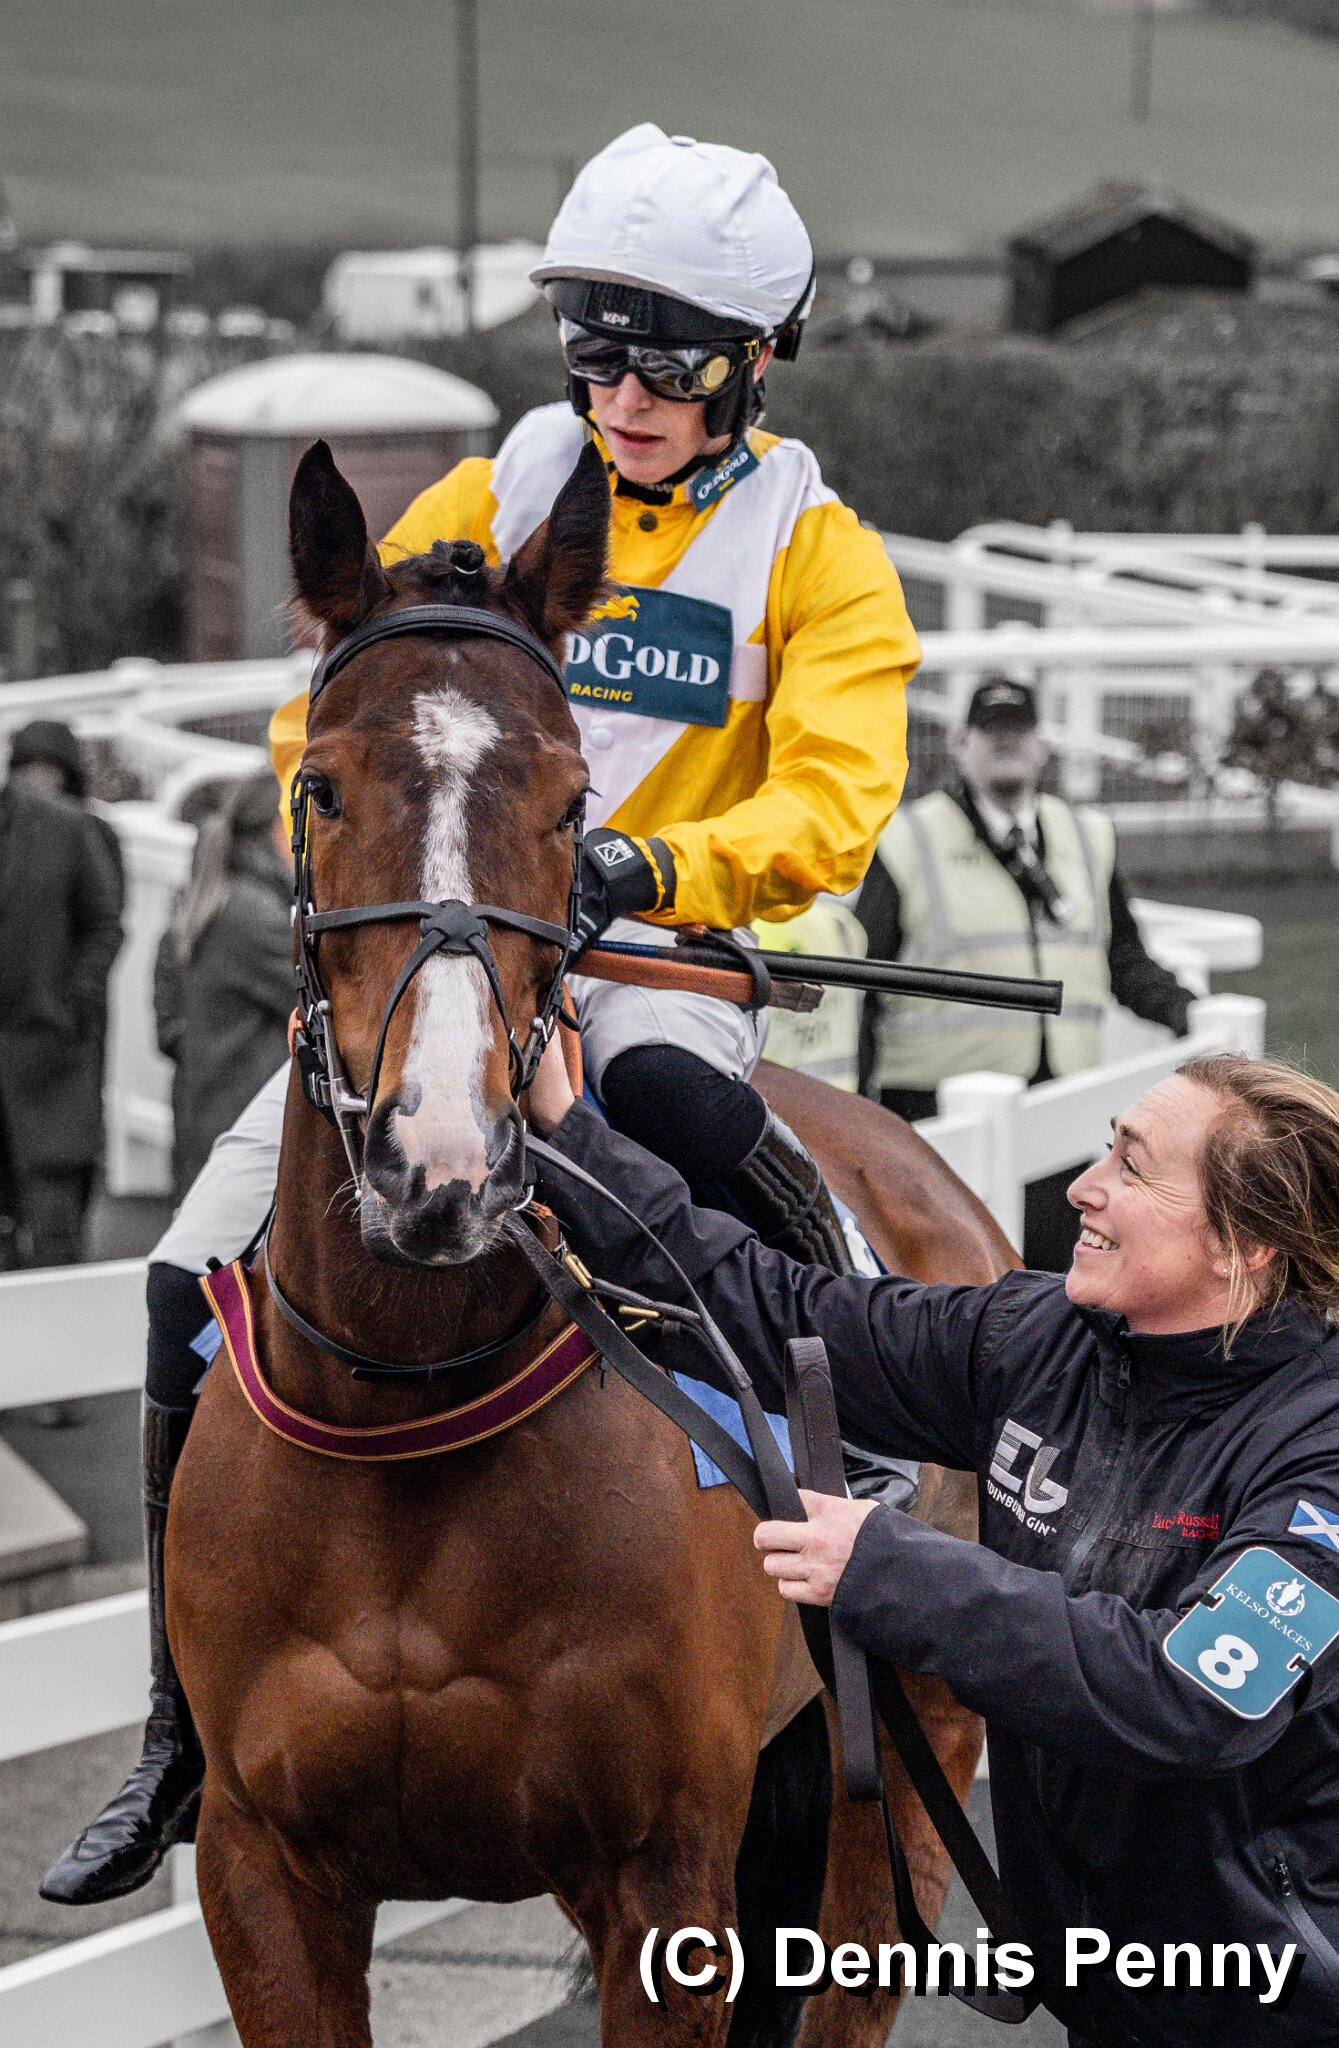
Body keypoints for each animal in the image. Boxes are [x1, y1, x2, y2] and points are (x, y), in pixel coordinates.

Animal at [167, 437, 1015, 2048]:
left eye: (574, 809)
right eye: (319, 784)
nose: (438, 1161)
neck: (407, 1417)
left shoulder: (662, 1877)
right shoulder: (260, 1868)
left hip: (895, 1780)